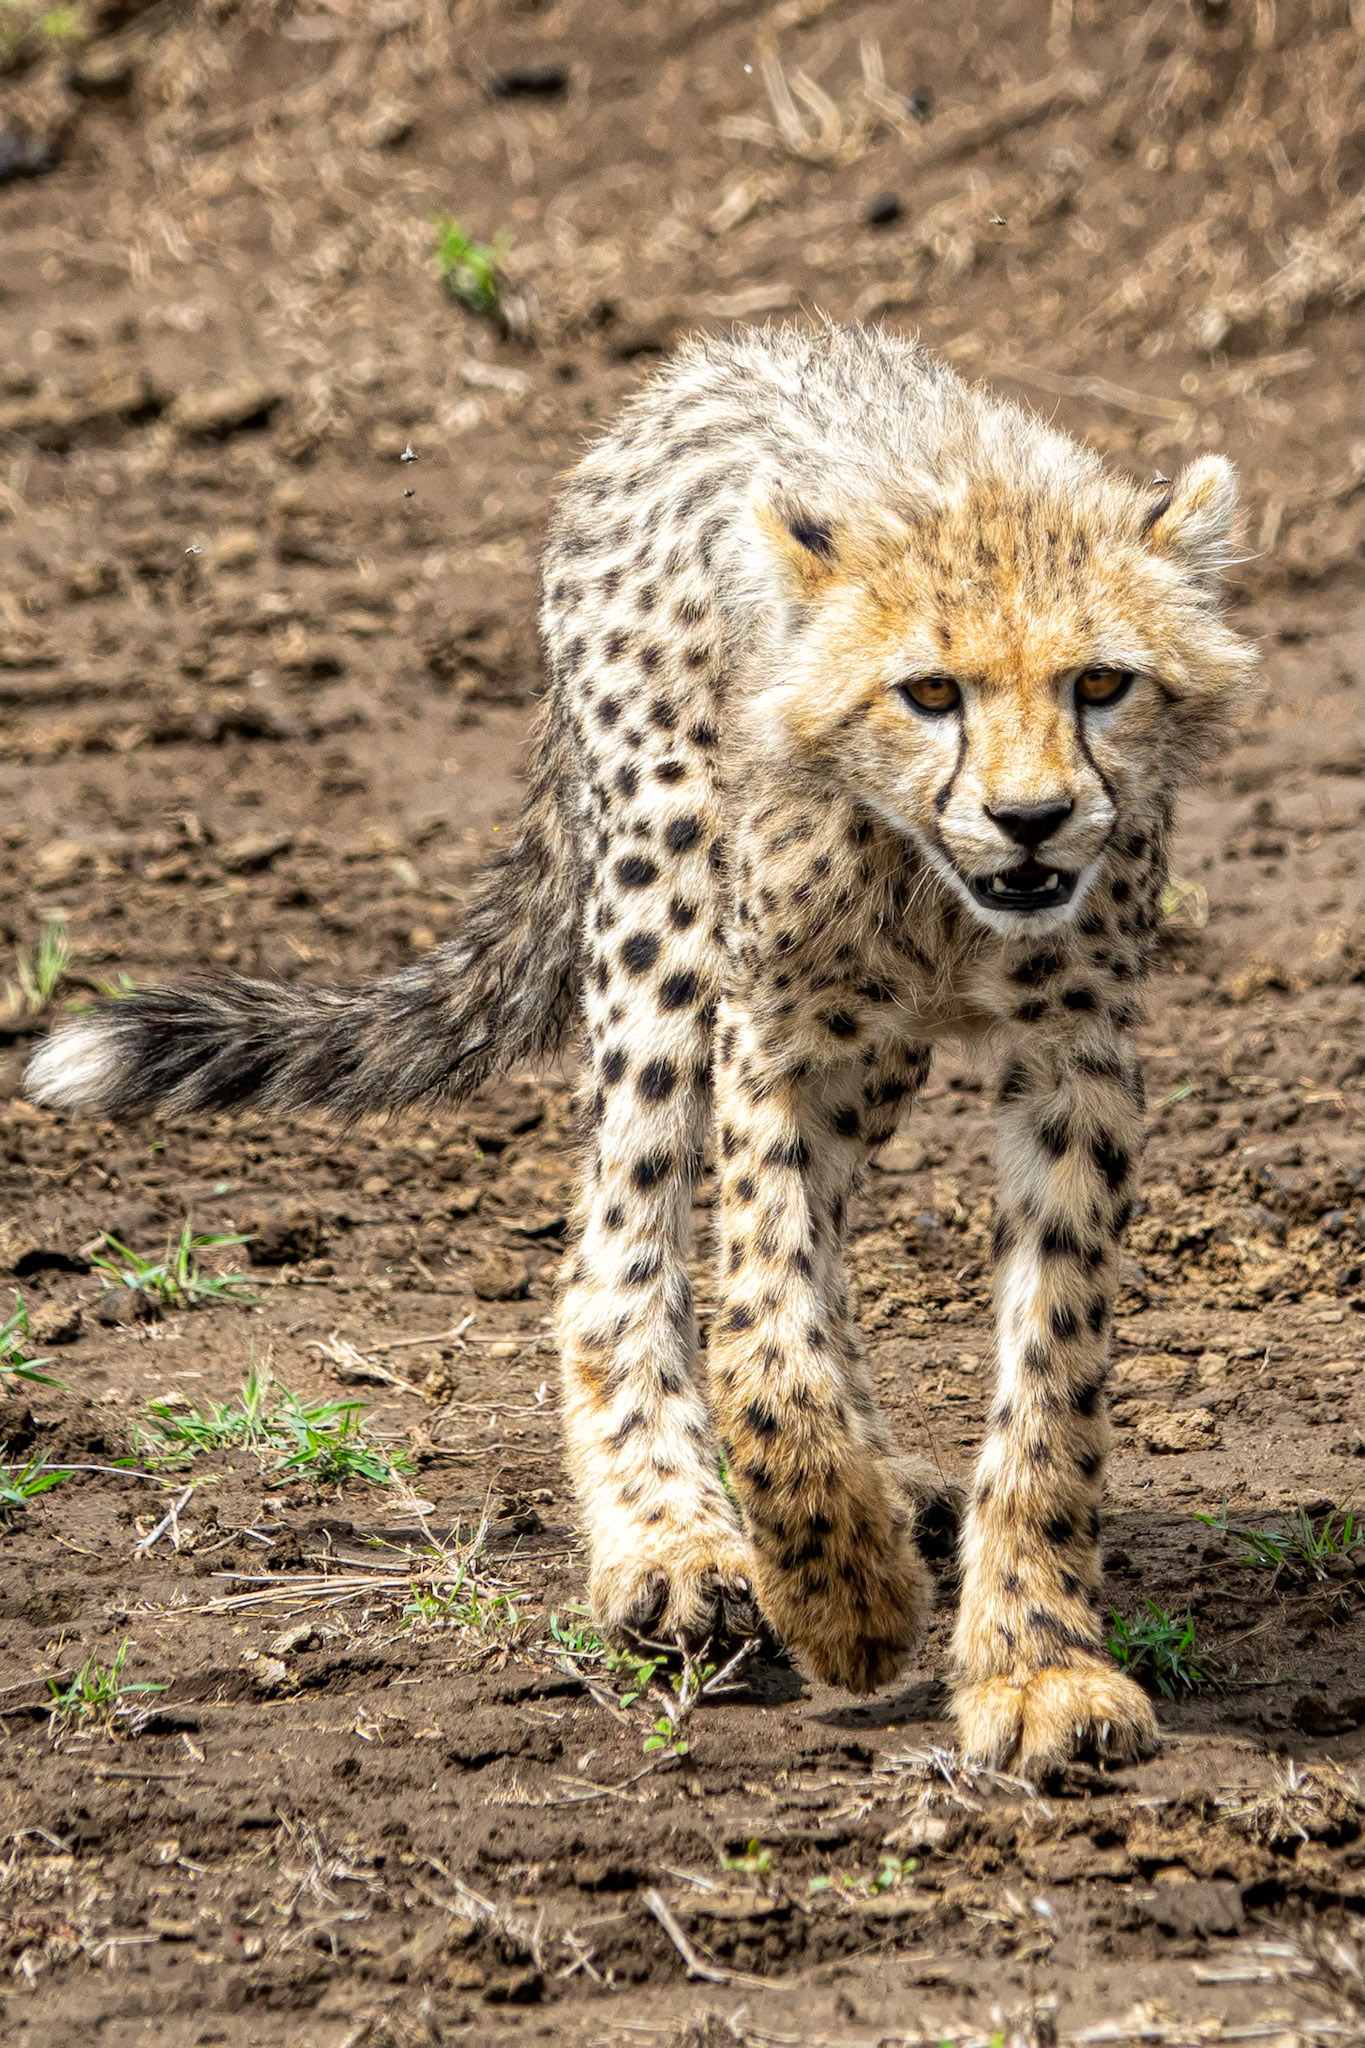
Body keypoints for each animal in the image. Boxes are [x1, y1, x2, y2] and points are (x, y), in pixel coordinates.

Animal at [28, 323, 1257, 1773]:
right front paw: (840, 1591)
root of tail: (727, 353)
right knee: (617, 1251)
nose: (1032, 819)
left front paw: (1033, 1660)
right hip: (662, 899)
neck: (933, 887)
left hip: (858, 1039)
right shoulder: (776, 1026)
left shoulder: (1073, 1059)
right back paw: (675, 1538)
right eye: (931, 691)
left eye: (1103, 683)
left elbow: (1049, 1371)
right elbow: (762, 1331)